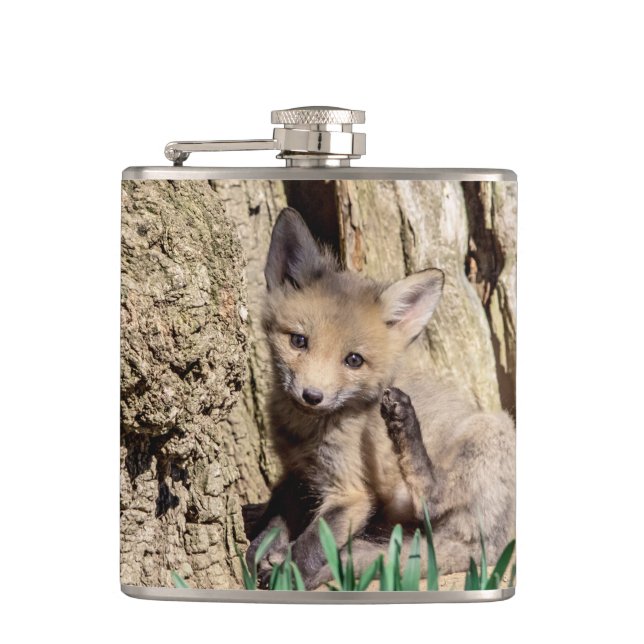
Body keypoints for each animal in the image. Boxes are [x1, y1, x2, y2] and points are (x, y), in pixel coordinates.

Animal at [245, 207, 515, 590]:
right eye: (298, 341)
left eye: (353, 360)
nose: (312, 396)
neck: (307, 433)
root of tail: (493, 544)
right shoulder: (298, 473)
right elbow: (276, 517)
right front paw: (260, 551)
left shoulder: (352, 494)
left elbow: (312, 544)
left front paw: (290, 574)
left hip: (491, 432)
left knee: (432, 497)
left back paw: (405, 423)